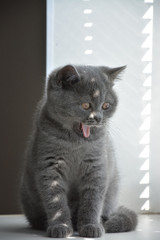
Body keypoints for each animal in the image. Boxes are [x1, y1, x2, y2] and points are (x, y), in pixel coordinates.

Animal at [20, 64, 138, 238]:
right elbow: (56, 201)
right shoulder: (50, 166)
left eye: (106, 106)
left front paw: (91, 226)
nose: (98, 118)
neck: (75, 143)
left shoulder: (96, 167)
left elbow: (93, 200)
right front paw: (60, 226)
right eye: (86, 105)